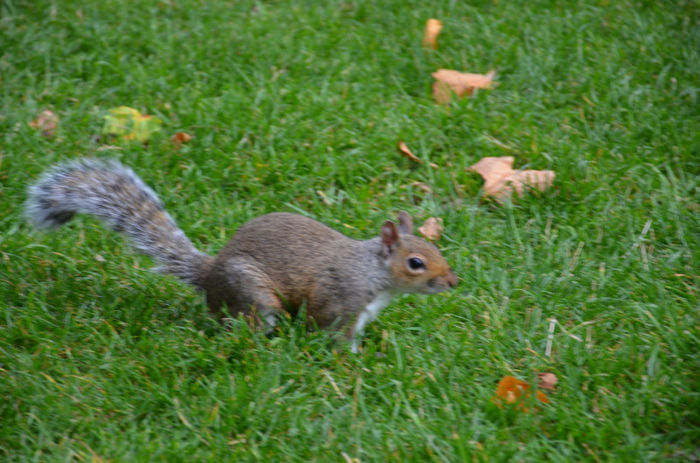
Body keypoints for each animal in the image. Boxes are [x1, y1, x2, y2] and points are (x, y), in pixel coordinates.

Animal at [26, 160, 460, 352]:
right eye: (416, 263)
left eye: (436, 249)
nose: (453, 281)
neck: (374, 273)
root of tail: (209, 275)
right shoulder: (340, 300)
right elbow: (332, 332)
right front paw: (351, 361)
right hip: (253, 294)